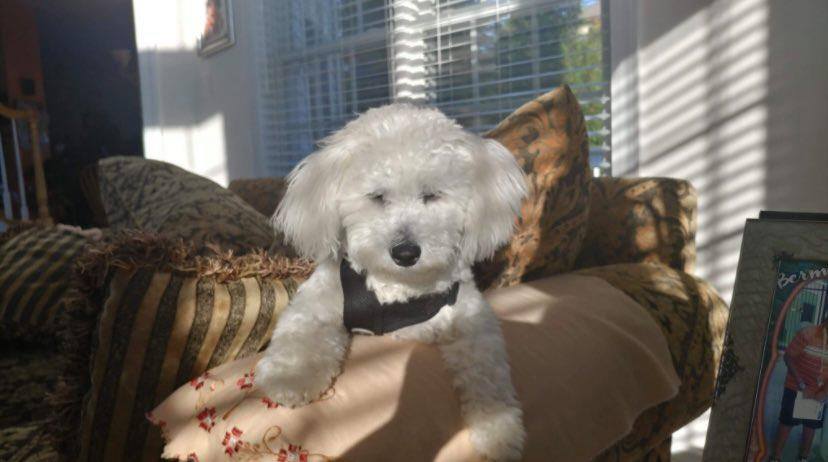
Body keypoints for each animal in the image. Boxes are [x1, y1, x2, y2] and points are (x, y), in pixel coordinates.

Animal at [256, 104, 528, 462]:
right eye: (377, 197)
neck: (395, 287)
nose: (406, 253)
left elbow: (488, 372)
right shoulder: (317, 300)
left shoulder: (471, 319)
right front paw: (288, 379)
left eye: (431, 195)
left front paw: (499, 433)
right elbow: (301, 333)